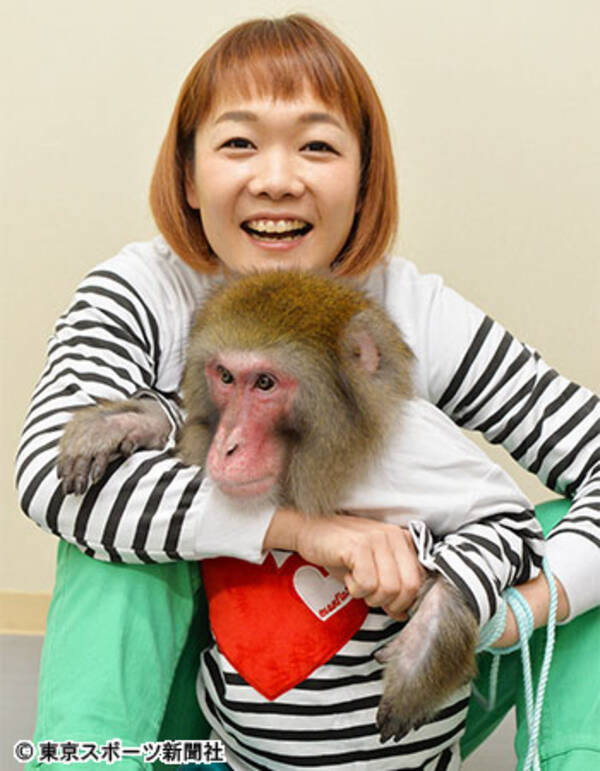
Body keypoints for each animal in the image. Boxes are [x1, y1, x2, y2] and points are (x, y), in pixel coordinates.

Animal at [58, 269, 481, 746]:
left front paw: (421, 648)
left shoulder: (428, 458)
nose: (227, 446)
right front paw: (125, 422)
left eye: (265, 383)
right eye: (225, 376)